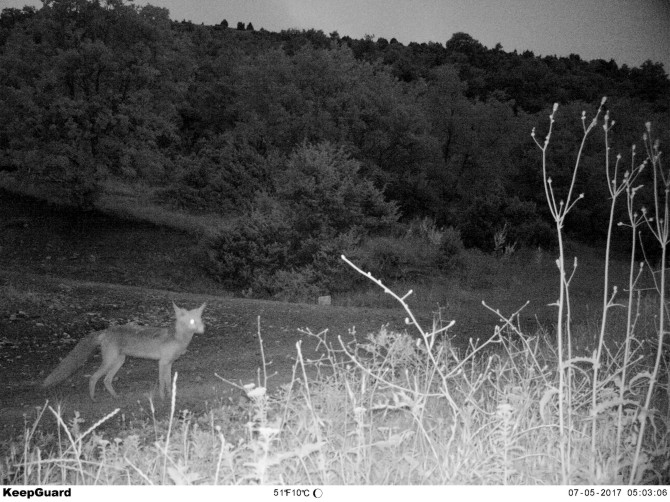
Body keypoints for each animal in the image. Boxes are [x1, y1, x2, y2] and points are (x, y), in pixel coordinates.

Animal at [42, 302, 205, 400]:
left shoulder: (169, 363)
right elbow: (162, 383)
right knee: (93, 378)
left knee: (106, 380)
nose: (204, 329)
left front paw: (171, 397)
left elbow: (169, 382)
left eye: (200, 320)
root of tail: (106, 330)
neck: (178, 339)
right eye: (192, 321)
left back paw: (116, 397)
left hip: (119, 361)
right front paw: (163, 399)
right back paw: (93, 398)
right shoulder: (162, 363)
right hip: (109, 362)